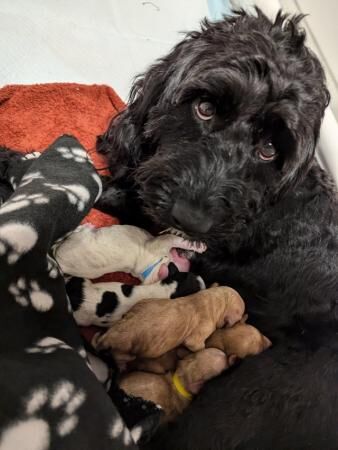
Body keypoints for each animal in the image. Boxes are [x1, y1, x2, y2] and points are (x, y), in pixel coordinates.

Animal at [53, 223, 206, 284]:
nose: (192, 258)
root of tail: (60, 263)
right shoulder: (162, 242)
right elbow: (175, 238)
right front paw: (199, 246)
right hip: (78, 238)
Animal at [95, 288, 246, 362]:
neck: (214, 298)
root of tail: (110, 335)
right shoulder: (202, 330)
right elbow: (197, 346)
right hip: (124, 349)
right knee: (120, 356)